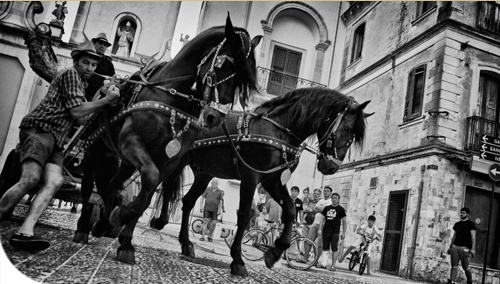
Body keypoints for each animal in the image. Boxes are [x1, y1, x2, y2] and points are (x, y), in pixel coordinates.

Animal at [75, 15, 262, 266]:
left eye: (243, 81)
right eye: (223, 65)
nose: (215, 117)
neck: (172, 97)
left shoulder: (169, 159)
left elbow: (148, 191)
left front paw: (125, 238)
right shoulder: (131, 141)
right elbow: (149, 181)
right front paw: (123, 217)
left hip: (124, 161)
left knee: (112, 184)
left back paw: (105, 221)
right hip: (95, 149)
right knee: (88, 187)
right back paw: (84, 227)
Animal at [155, 87, 372, 276]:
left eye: (353, 136)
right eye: (346, 128)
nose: (331, 167)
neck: (278, 130)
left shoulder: (273, 181)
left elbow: (290, 210)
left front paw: (275, 251)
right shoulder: (251, 177)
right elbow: (244, 216)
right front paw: (238, 260)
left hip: (204, 173)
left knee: (187, 201)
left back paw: (185, 242)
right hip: (173, 159)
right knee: (163, 186)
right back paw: (159, 221)